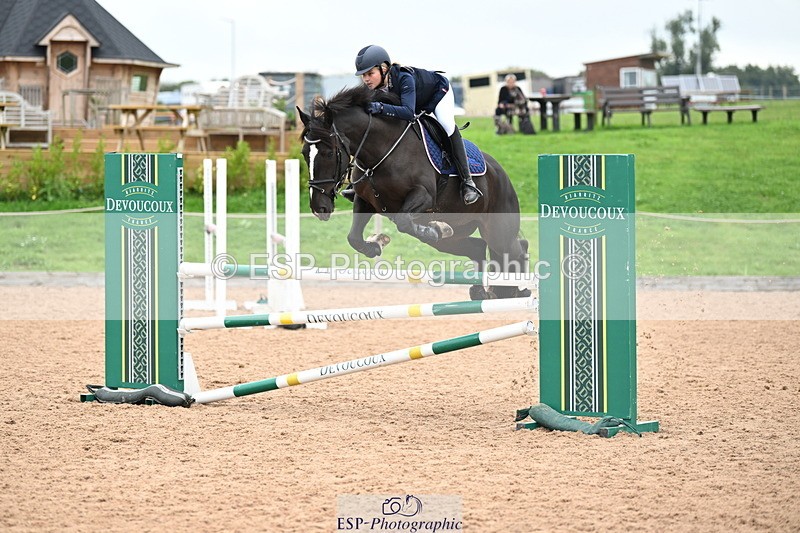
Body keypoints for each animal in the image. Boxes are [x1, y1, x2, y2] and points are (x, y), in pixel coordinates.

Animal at [297, 85, 529, 300]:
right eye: (305, 153)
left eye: (329, 153)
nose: (319, 208)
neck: (382, 149)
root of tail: (502, 174)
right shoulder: (365, 201)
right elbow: (353, 237)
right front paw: (376, 245)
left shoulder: (423, 196)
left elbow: (403, 222)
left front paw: (434, 229)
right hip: (459, 232)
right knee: (478, 248)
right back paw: (481, 290)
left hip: (498, 231)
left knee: (516, 248)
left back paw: (522, 289)